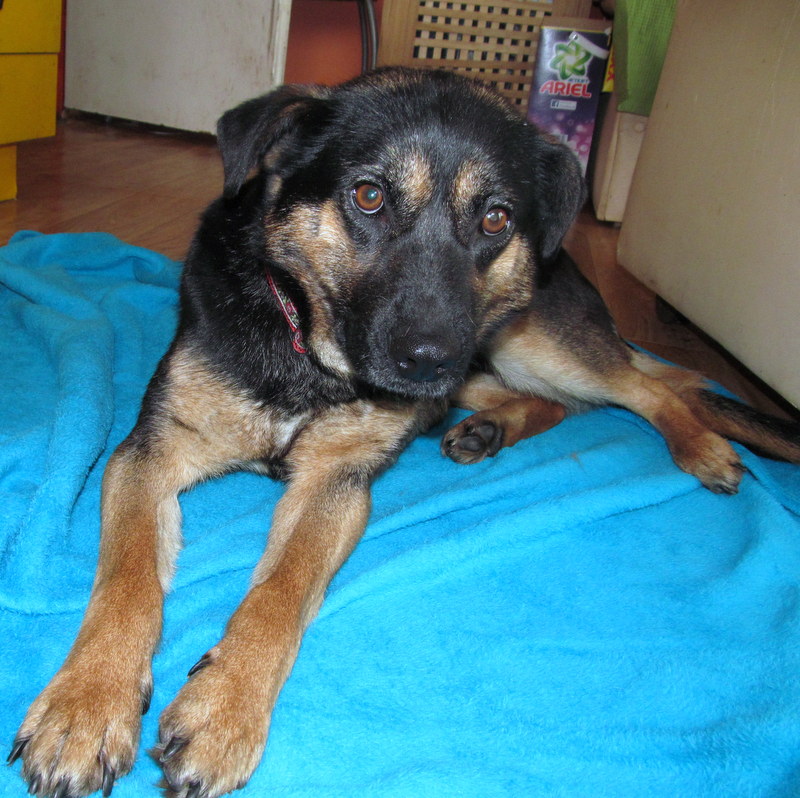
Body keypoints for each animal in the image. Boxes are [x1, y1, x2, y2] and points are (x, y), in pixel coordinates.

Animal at [10, 67, 800, 798]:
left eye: (495, 219)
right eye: (369, 197)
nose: (428, 360)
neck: (310, 353)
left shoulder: (336, 484)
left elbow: (281, 592)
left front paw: (225, 708)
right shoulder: (152, 450)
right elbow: (128, 578)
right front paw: (87, 705)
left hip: (526, 336)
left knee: (649, 387)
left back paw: (702, 447)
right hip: (492, 359)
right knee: (564, 399)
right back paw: (489, 428)